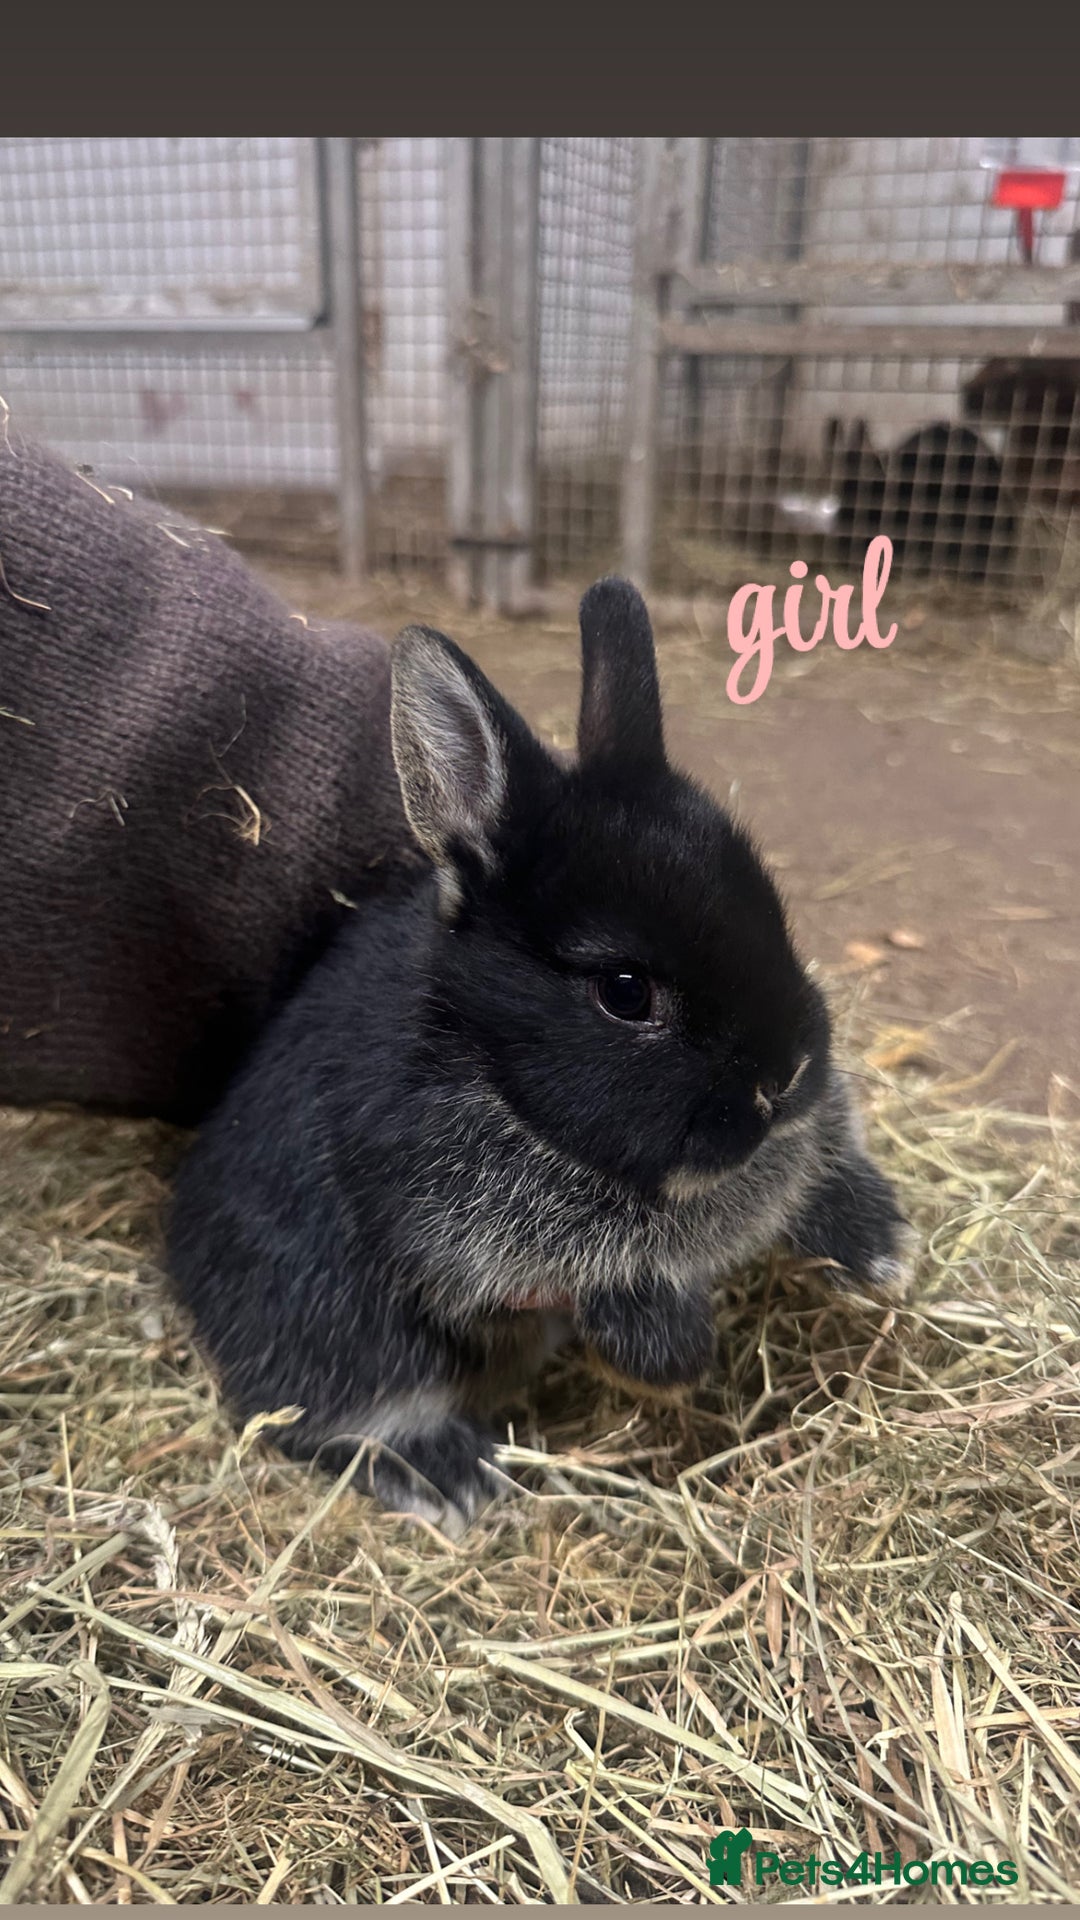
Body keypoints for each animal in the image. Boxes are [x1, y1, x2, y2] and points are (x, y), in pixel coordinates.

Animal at [167, 577, 911, 1535]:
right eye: (625, 991)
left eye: (774, 915)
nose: (783, 1080)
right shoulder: (464, 1237)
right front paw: (673, 1359)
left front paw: (884, 1247)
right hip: (337, 1326)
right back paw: (450, 1476)